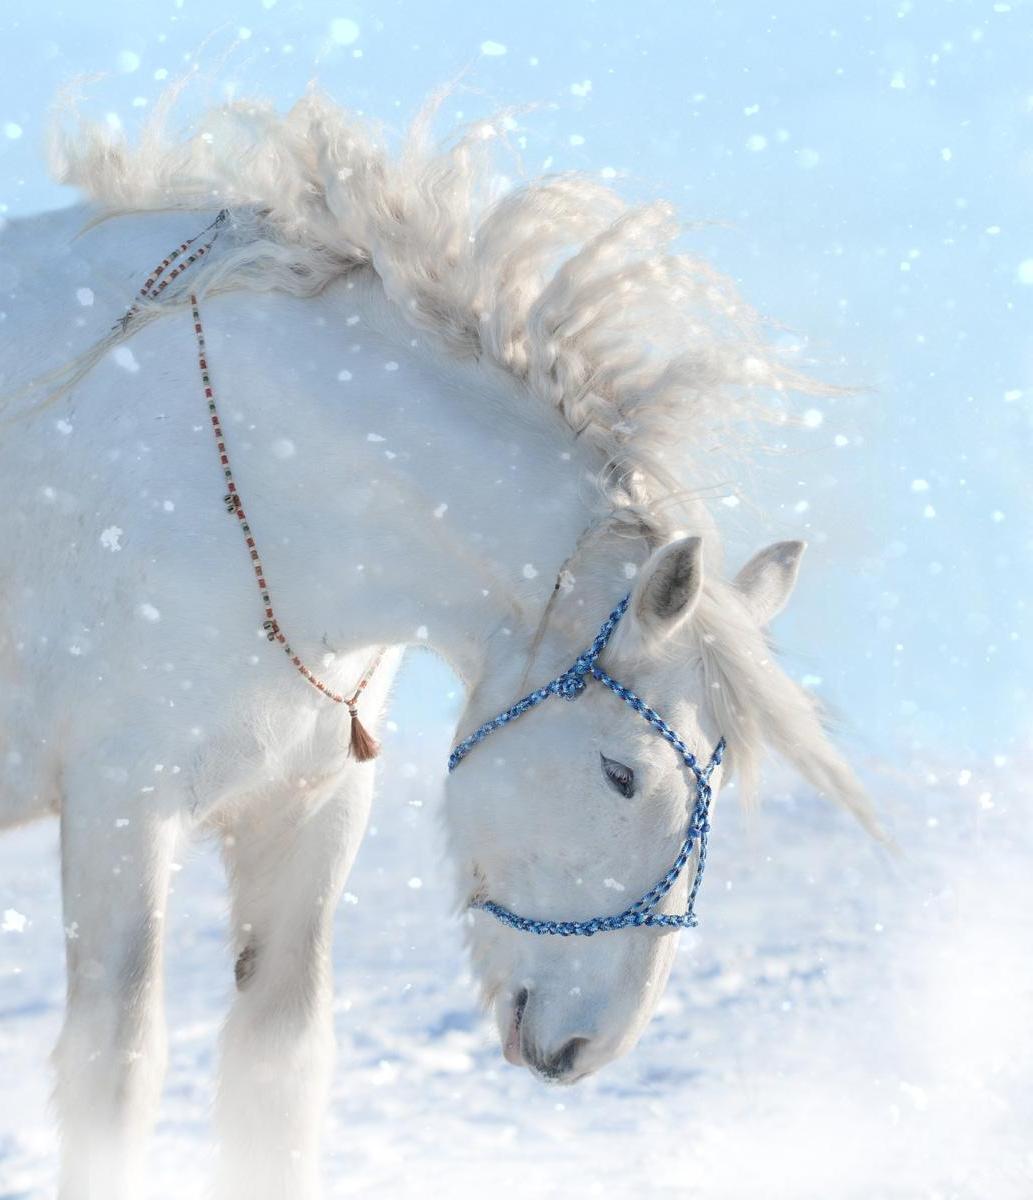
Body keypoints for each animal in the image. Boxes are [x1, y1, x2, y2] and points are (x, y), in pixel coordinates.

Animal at [0, 90, 880, 1199]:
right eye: (622, 775)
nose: (584, 1049)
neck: (248, 493)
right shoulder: (122, 807)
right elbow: (114, 1070)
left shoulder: (309, 809)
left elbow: (277, 1067)